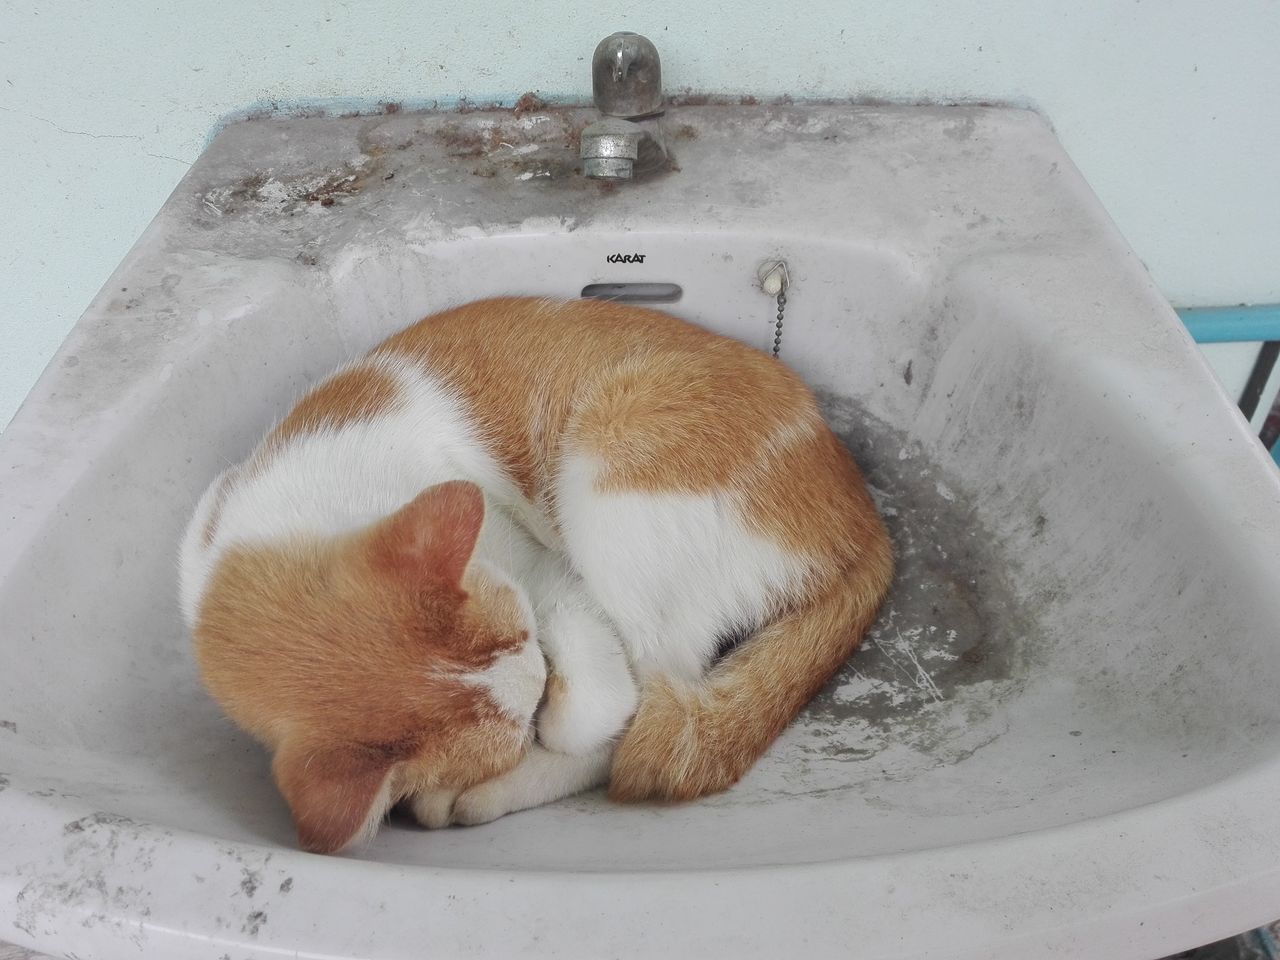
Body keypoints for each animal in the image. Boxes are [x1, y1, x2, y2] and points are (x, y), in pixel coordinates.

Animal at [180, 296, 890, 855]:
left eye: (521, 635)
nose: (541, 676)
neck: (315, 504)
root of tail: (864, 518)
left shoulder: (544, 570)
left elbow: (605, 709)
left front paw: (539, 739)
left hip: (608, 480)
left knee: (652, 707)